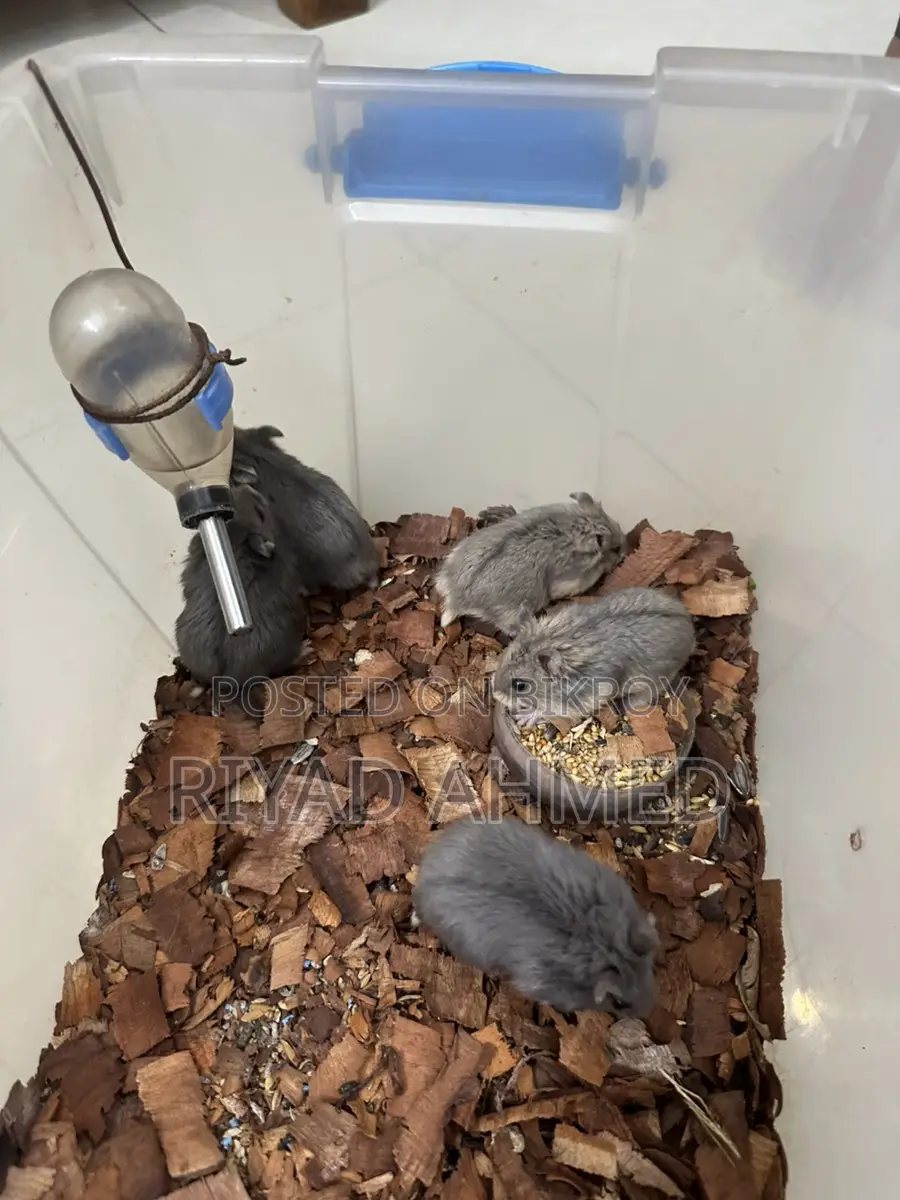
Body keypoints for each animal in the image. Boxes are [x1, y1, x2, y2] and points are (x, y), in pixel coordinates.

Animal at [436, 492, 624, 636]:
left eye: (618, 524)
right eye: (616, 549)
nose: (625, 552)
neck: (574, 525)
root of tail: (456, 597)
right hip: (512, 613)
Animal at [492, 587, 694, 723]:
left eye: (520, 685)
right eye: (504, 657)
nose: (495, 694)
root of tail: (691, 630)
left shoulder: (581, 701)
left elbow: (546, 711)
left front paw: (524, 717)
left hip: (653, 680)